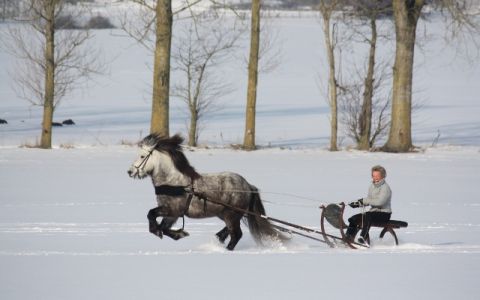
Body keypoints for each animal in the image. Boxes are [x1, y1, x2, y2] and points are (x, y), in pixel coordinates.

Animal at [126, 134, 282, 251]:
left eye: (142, 156)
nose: (130, 172)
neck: (173, 182)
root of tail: (248, 185)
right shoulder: (172, 215)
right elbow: (162, 227)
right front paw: (177, 233)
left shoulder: (172, 210)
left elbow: (151, 215)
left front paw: (166, 232)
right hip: (226, 213)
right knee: (230, 231)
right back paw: (218, 238)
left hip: (231, 214)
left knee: (236, 235)